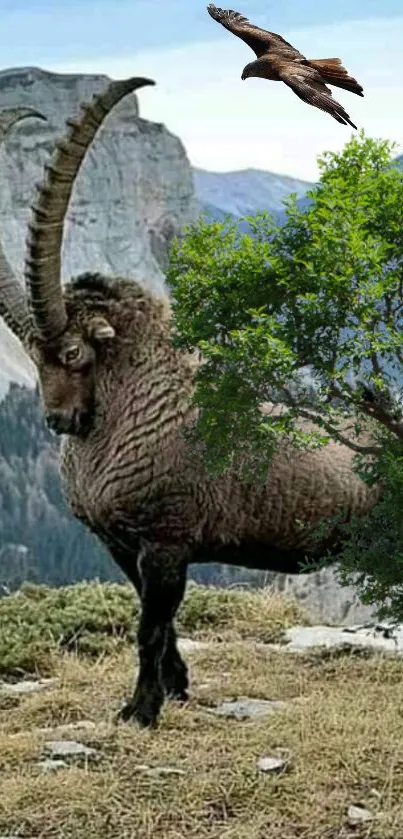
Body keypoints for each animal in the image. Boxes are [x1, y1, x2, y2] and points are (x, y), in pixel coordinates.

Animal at [0, 75, 382, 724]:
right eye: (31, 356)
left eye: (74, 352)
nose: (58, 420)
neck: (138, 407)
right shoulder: (122, 547)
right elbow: (163, 624)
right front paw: (176, 687)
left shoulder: (166, 540)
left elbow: (149, 628)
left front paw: (140, 711)